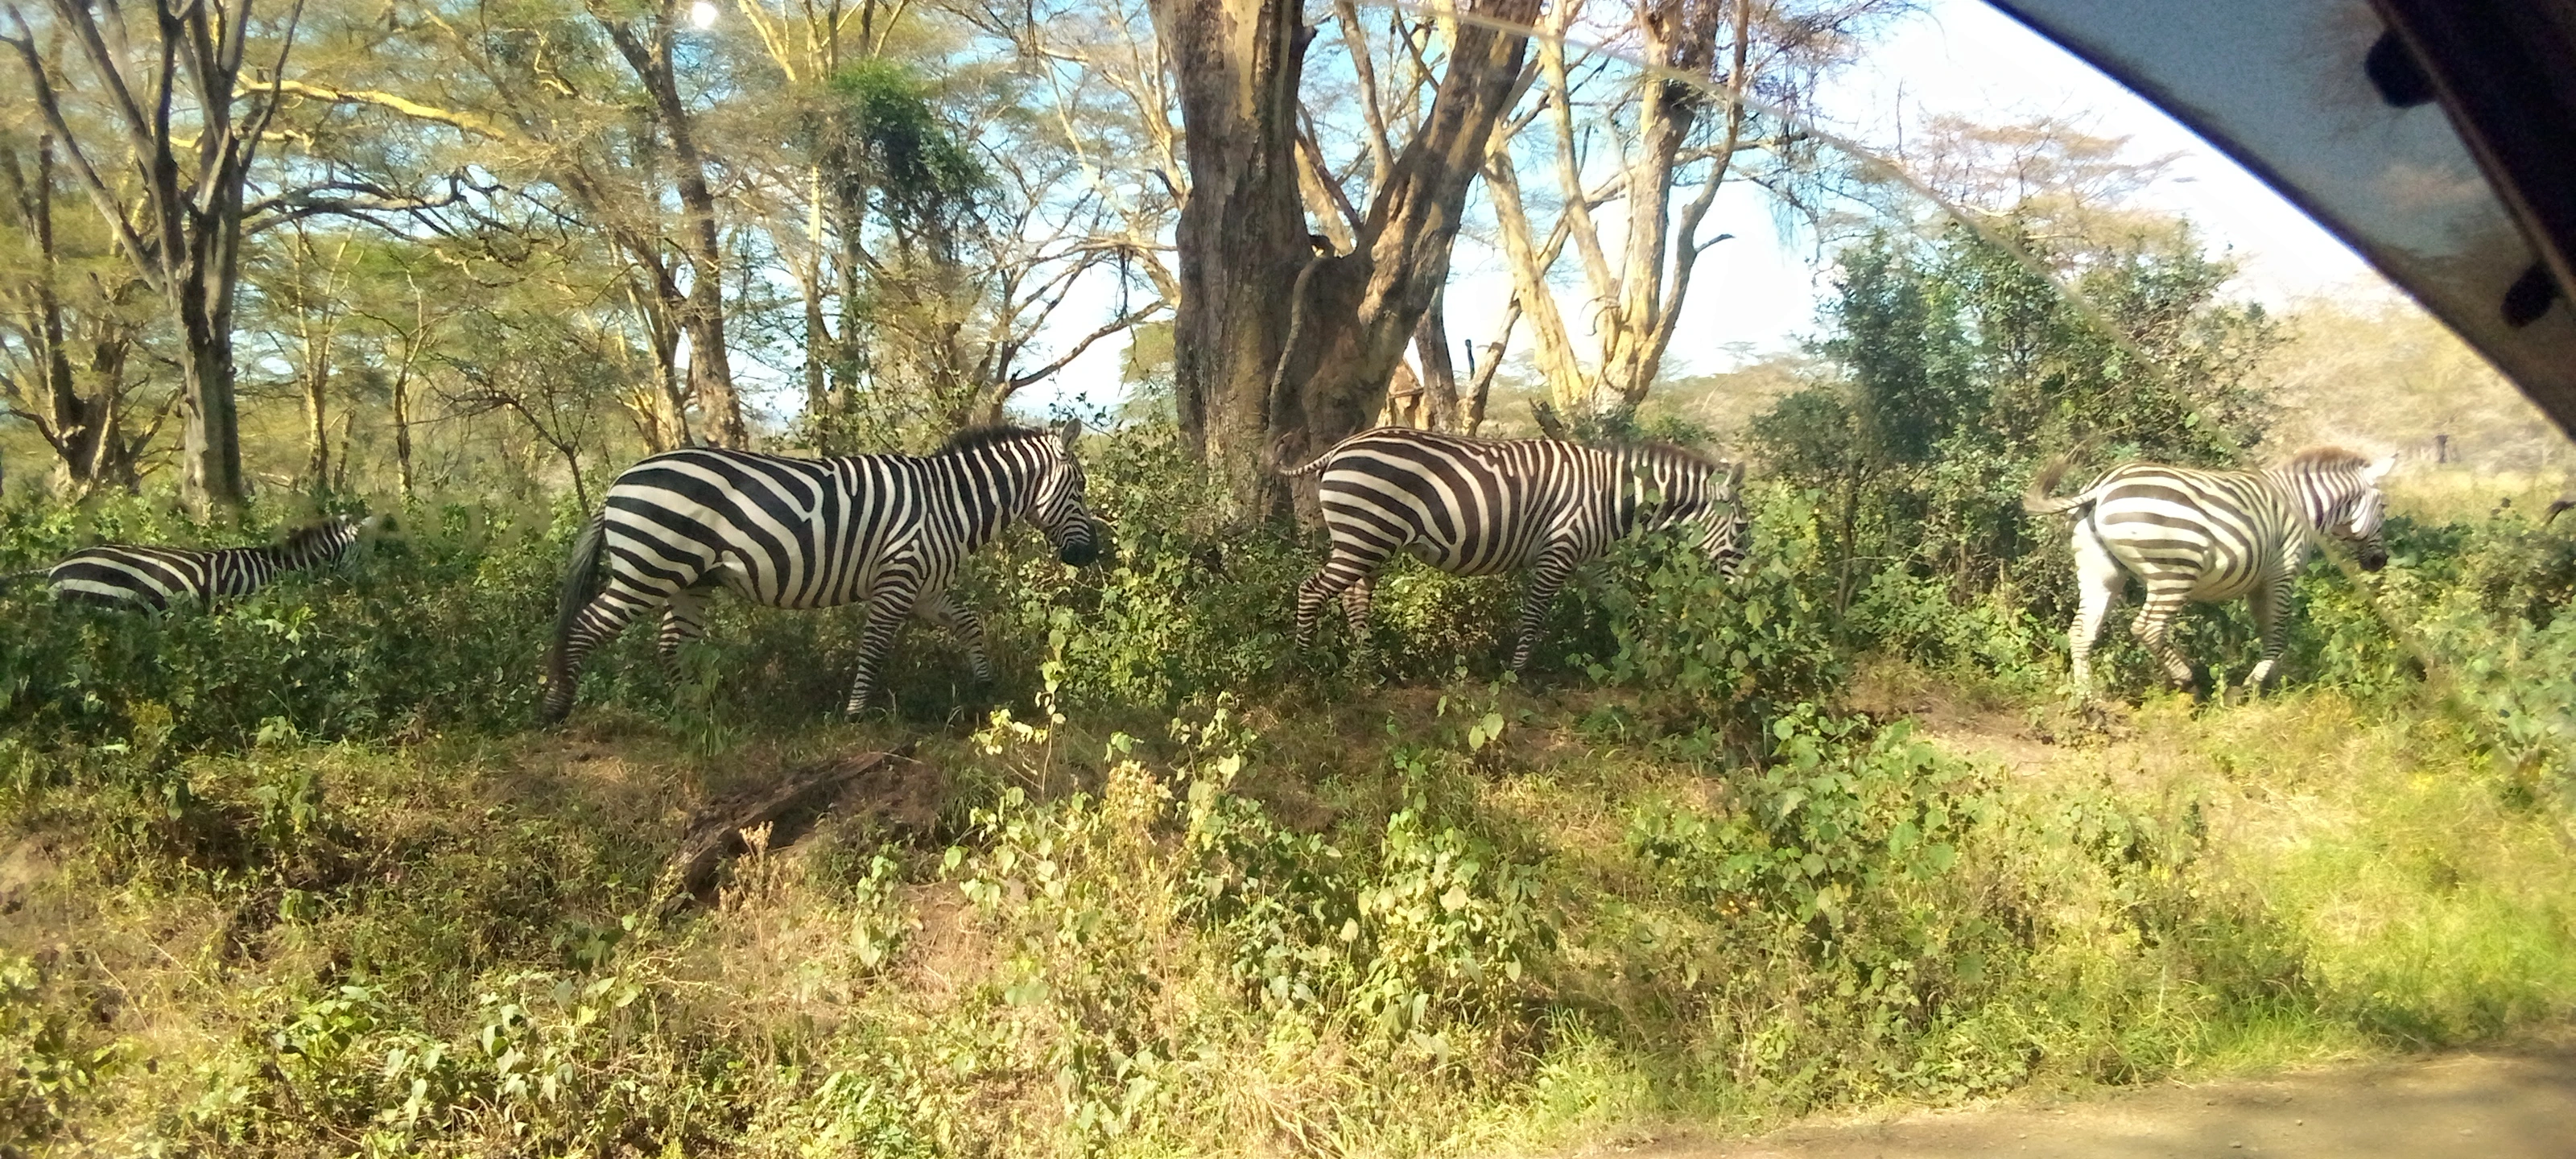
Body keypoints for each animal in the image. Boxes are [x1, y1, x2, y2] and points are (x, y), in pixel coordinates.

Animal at [538, 419, 1102, 721]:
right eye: (1078, 489)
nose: (1091, 554)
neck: (947, 504)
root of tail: (619, 481)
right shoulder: (898, 577)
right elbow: (874, 646)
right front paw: (856, 715)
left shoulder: (925, 586)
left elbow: (969, 624)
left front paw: (985, 687)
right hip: (648, 569)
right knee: (585, 629)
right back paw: (557, 708)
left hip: (689, 581)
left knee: (673, 646)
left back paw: (697, 713)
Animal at [1288, 427, 1752, 670]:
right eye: (1743, 529)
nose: (1746, 591)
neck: (1610, 496)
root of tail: (1343, 445)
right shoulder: (1557, 553)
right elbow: (1533, 618)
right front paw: (1516, 675)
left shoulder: (1588, 560)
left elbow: (1620, 604)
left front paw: (1644, 651)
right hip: (1366, 536)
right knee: (1312, 591)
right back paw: (1305, 665)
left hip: (1367, 540)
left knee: (1353, 598)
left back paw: (1368, 667)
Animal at [2019, 445, 2401, 695]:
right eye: (2383, 506)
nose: (2379, 562)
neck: (2303, 505)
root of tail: (2104, 484)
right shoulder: (2283, 571)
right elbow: (2279, 632)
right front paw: (2253, 685)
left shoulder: (2259, 581)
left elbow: (2269, 631)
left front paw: (2271, 684)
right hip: (2174, 571)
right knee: (2147, 627)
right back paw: (2186, 679)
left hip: (2100, 569)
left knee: (2082, 631)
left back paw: (2088, 699)